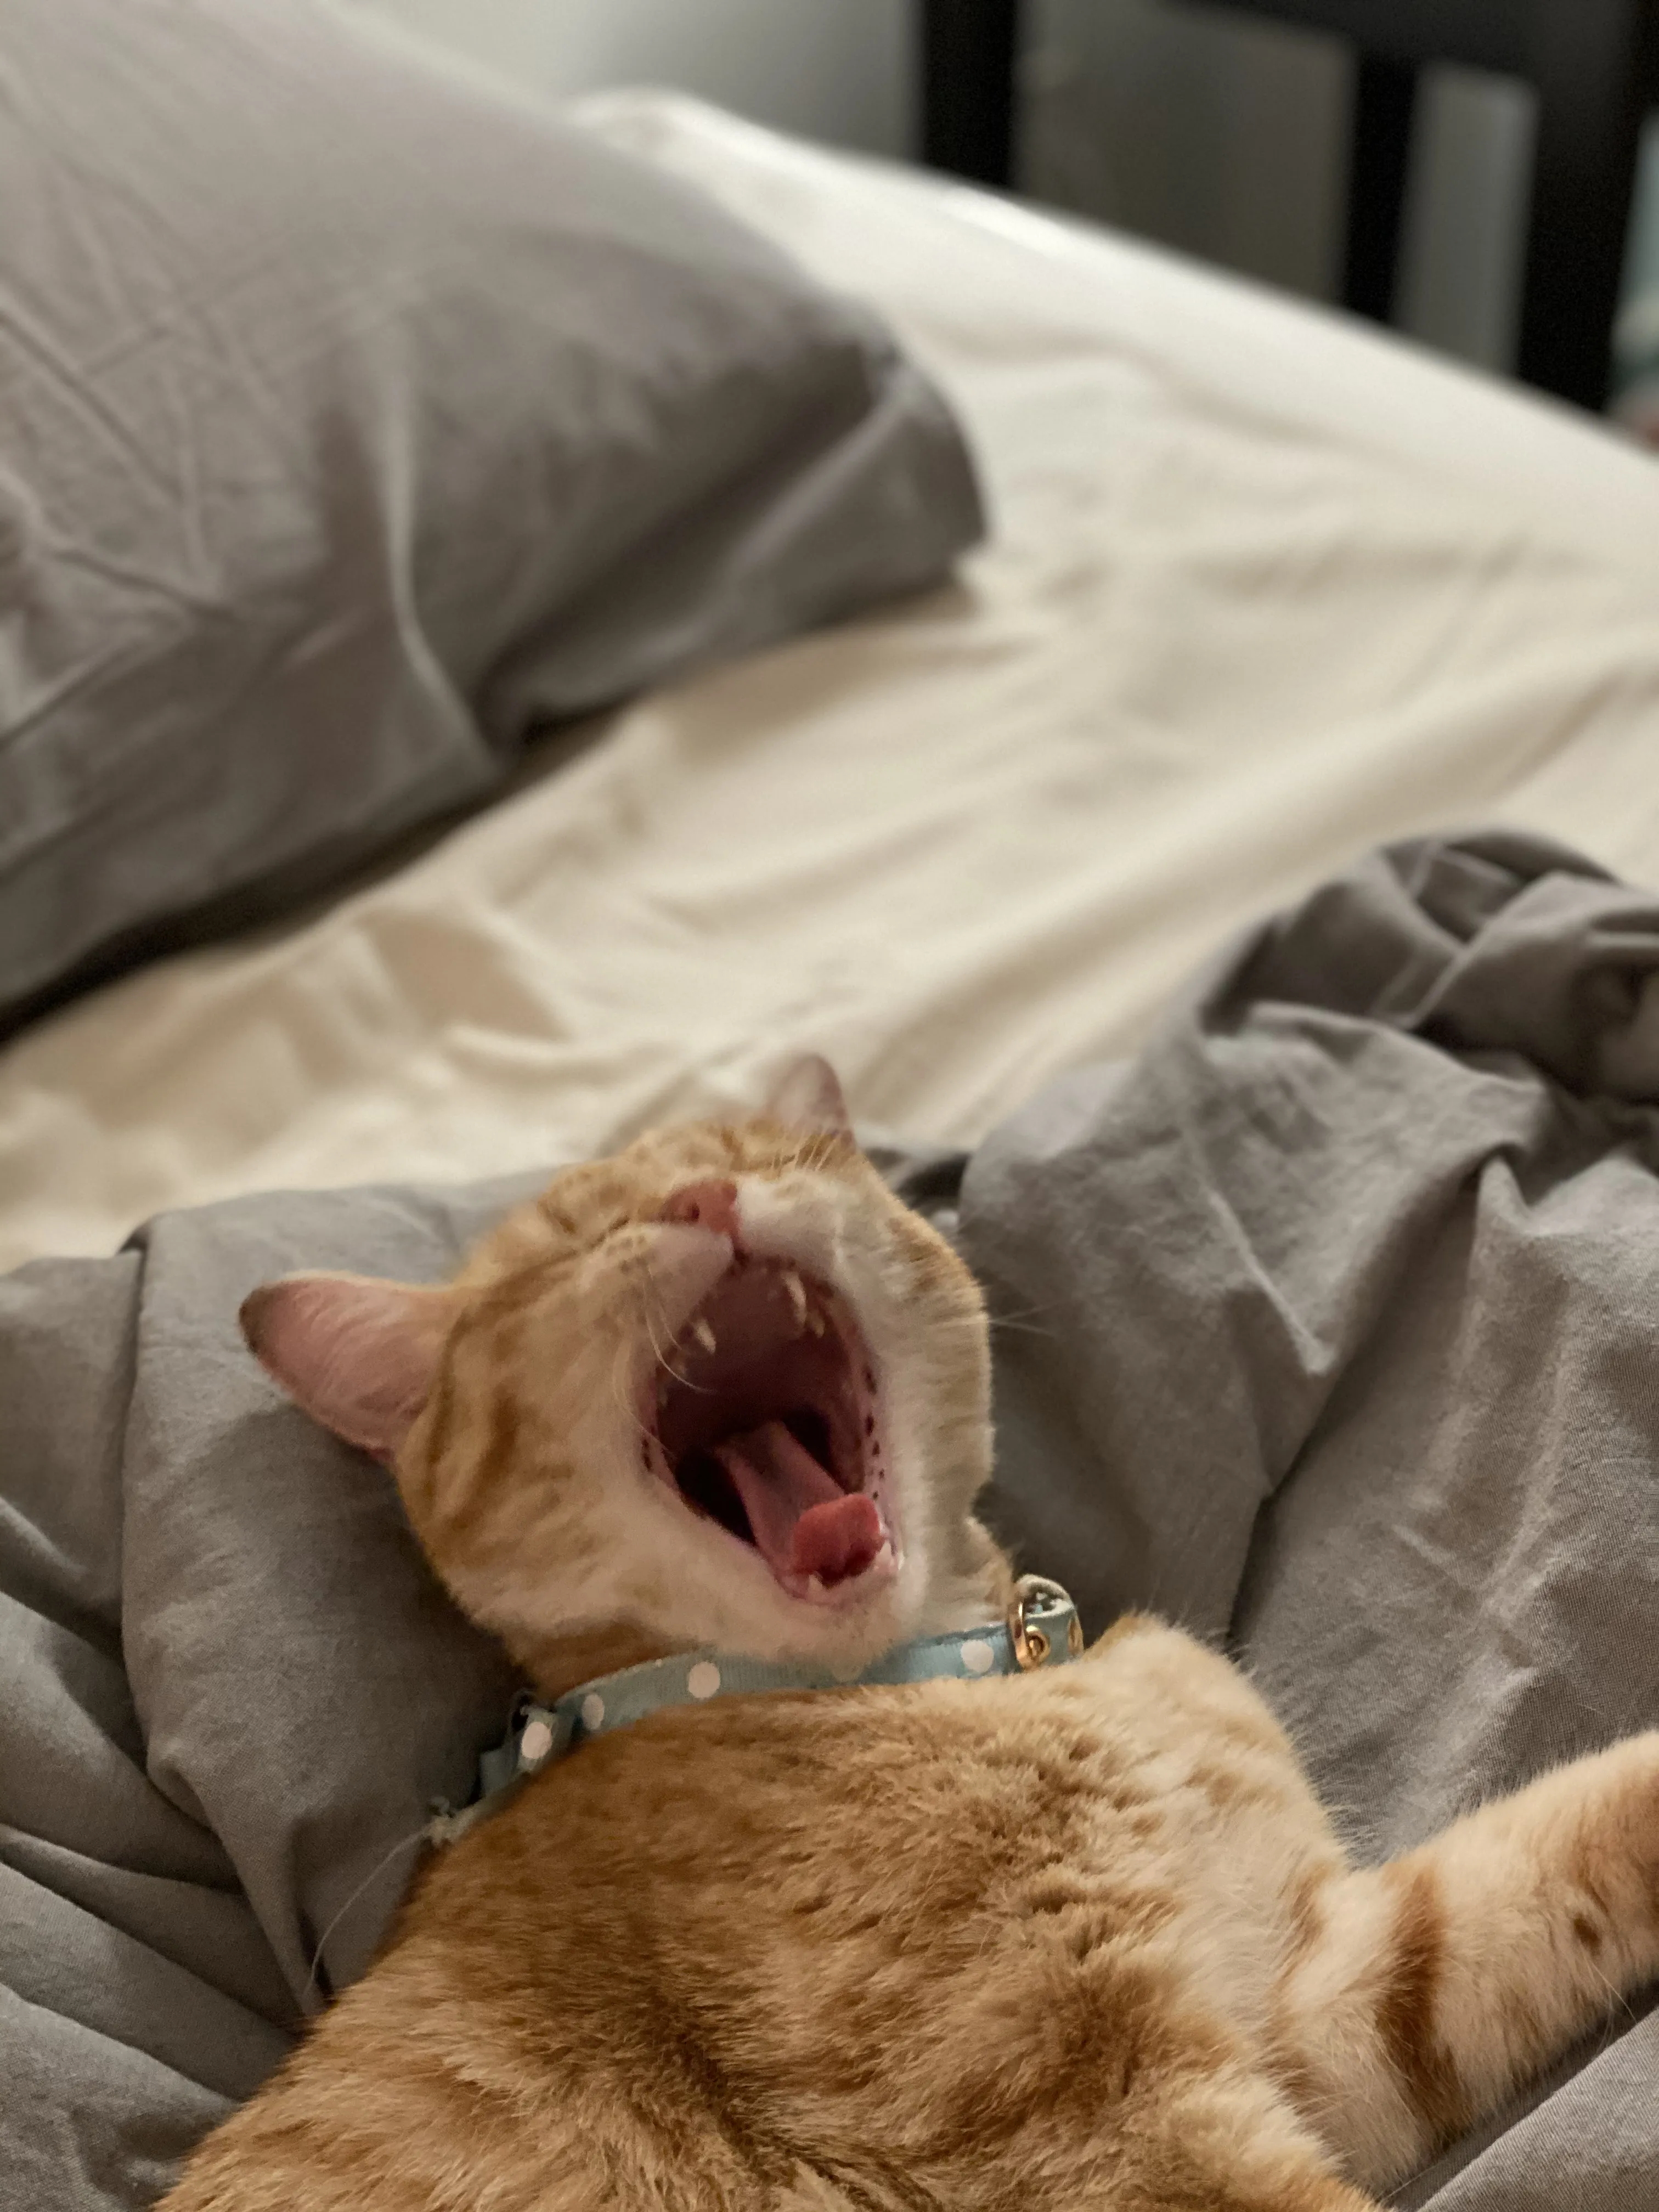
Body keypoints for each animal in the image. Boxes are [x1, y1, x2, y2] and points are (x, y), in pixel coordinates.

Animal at [166, 1057, 1659, 2212]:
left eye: (767, 1156)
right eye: (569, 1249)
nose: (704, 1200)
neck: (973, 1672)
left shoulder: (1323, 2006)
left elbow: (1547, 1857)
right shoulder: (1099, 2123)